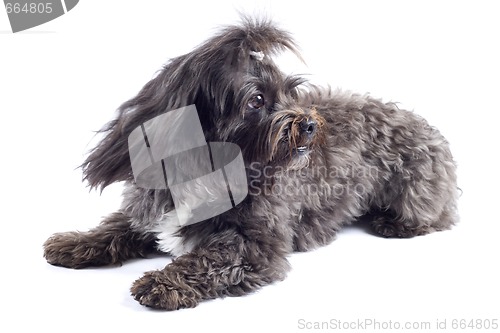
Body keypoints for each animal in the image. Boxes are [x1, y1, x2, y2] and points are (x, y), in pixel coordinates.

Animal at [43, 18, 458, 308]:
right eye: (257, 100)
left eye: (291, 93)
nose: (309, 123)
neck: (202, 171)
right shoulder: (149, 208)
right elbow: (116, 227)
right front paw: (77, 241)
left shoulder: (257, 243)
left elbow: (208, 258)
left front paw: (165, 282)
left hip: (417, 193)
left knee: (437, 218)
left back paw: (392, 223)